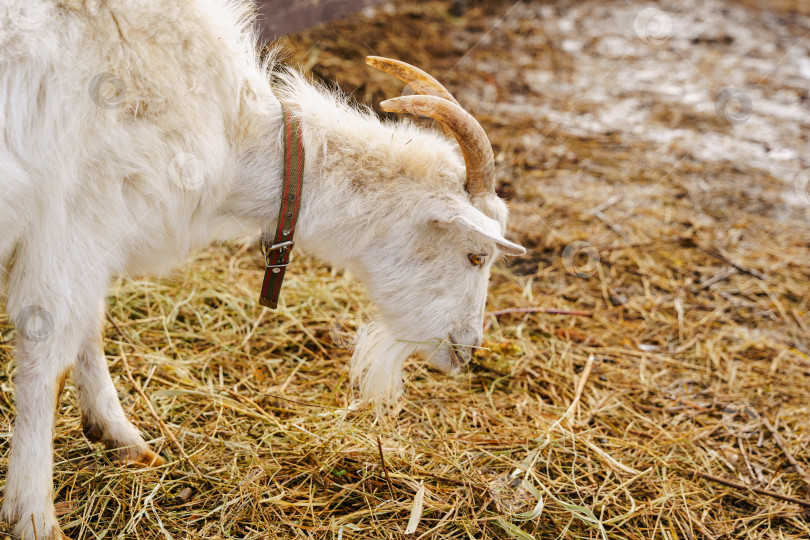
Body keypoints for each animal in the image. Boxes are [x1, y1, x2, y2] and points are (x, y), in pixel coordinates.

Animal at [1, 0, 524, 536]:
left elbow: (88, 326)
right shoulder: (77, 217)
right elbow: (47, 349)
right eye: (477, 254)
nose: (468, 349)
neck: (233, 135)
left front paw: (119, 435)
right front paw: (34, 515)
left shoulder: (89, 233)